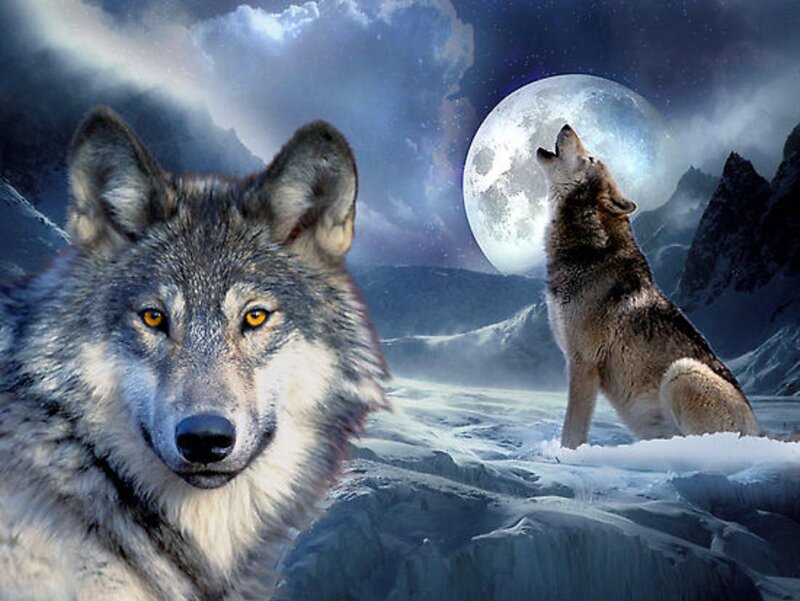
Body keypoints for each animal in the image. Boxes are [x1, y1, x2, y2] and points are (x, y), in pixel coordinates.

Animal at [536, 124, 761, 449]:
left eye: (590, 158)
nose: (567, 125)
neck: (587, 250)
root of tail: (761, 432)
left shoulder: (583, 364)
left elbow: (572, 432)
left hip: (682, 372)